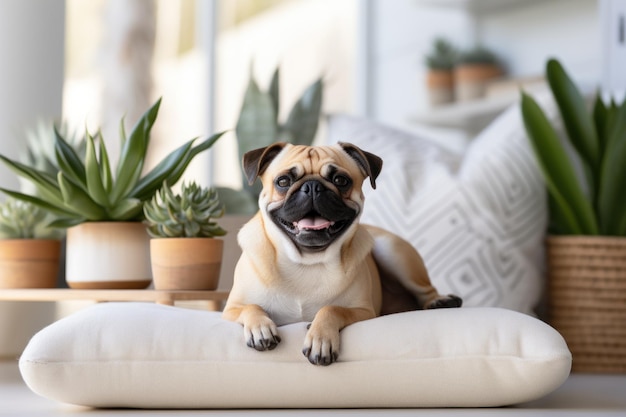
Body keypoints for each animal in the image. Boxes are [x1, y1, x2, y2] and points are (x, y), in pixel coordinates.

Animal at [222, 142, 460, 364]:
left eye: (340, 180)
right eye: (283, 182)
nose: (312, 186)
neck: (307, 261)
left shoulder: (363, 311)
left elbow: (332, 309)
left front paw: (320, 338)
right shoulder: (231, 309)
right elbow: (251, 307)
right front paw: (260, 329)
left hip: (392, 250)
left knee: (425, 290)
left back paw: (440, 301)